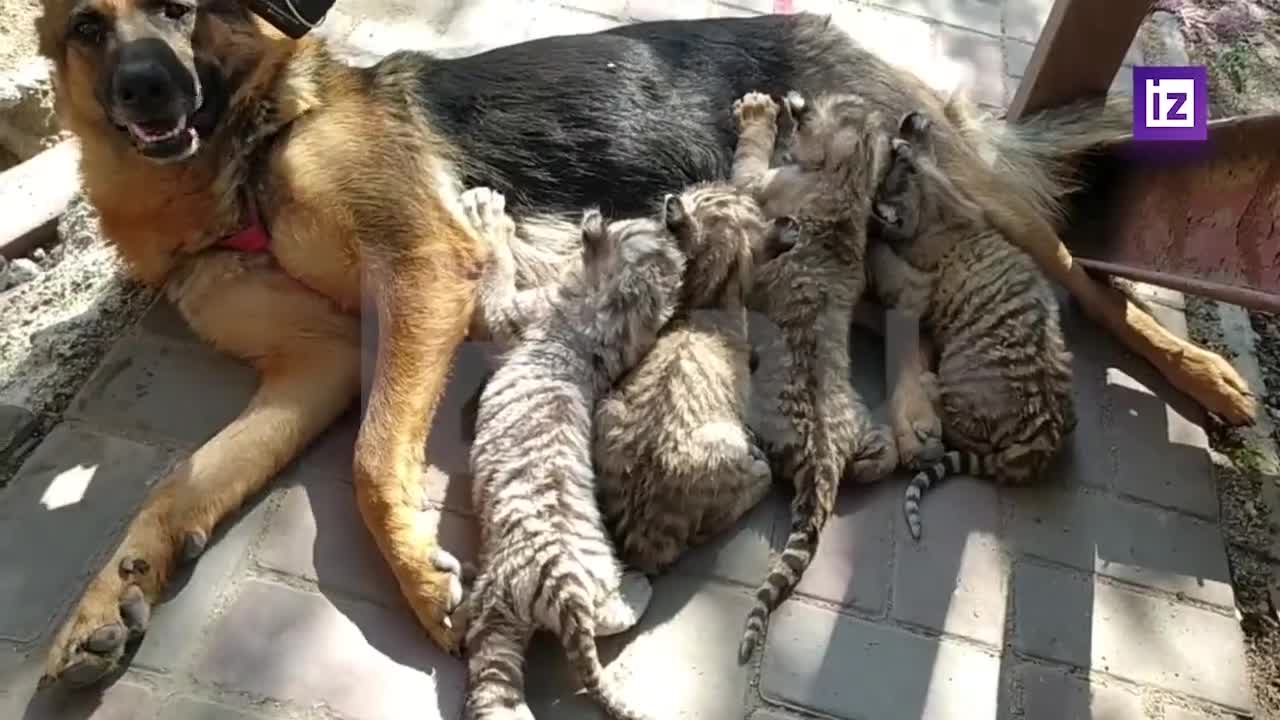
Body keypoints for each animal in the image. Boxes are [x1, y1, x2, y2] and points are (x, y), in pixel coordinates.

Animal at [35, 0, 1254, 681]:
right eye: (87, 26)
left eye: (184, 8)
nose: (147, 93)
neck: (241, 158)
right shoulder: (317, 364)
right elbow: (178, 483)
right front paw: (110, 593)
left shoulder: (424, 272)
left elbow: (374, 464)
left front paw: (427, 584)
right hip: (848, 248)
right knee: (896, 307)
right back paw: (906, 410)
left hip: (963, 200)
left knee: (1079, 272)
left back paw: (1201, 369)